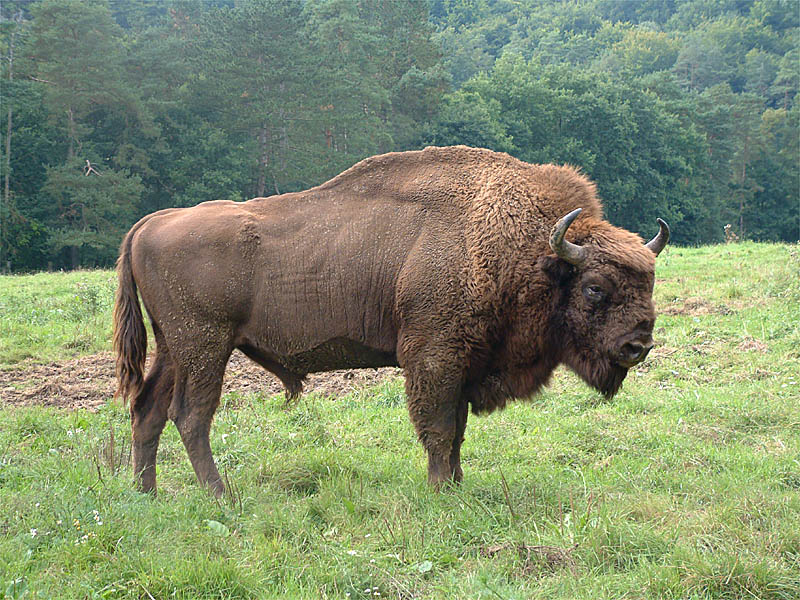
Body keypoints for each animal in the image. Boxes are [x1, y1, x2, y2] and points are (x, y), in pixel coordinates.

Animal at [113, 145, 669, 496]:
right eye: (595, 287)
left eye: (649, 282)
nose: (637, 346)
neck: (528, 251)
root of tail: (151, 222)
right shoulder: (435, 359)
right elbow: (439, 429)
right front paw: (441, 490)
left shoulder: (463, 365)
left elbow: (457, 430)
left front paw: (458, 484)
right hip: (206, 346)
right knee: (191, 415)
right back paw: (220, 494)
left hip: (174, 349)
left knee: (148, 411)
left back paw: (147, 494)